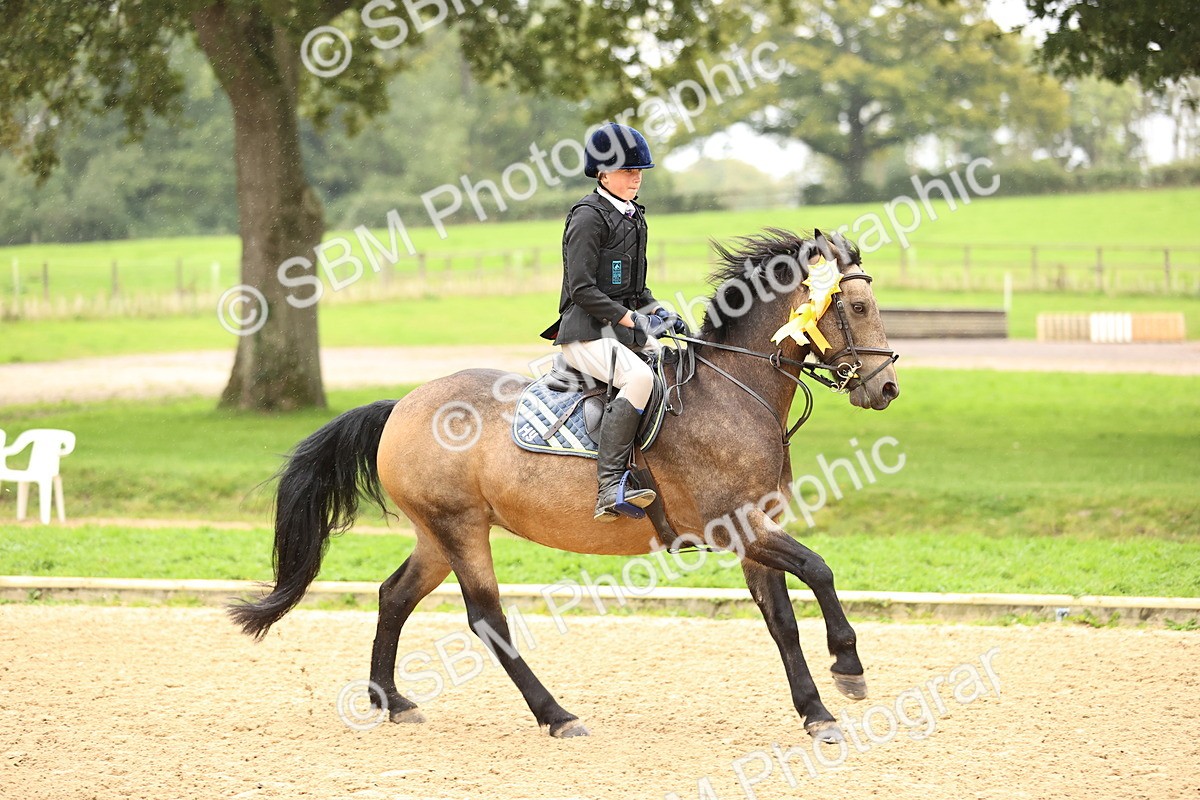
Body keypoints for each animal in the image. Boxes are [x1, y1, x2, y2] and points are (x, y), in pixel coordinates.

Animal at [230, 227, 900, 743]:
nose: (887, 388)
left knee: (394, 596)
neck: (732, 391)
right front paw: (849, 665)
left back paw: (391, 701)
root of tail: (401, 406)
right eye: (857, 307)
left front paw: (816, 713)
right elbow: (819, 570)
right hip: (460, 528)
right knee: (487, 620)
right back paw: (556, 715)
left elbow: (781, 618)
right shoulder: (735, 525)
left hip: (436, 534)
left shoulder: (754, 530)